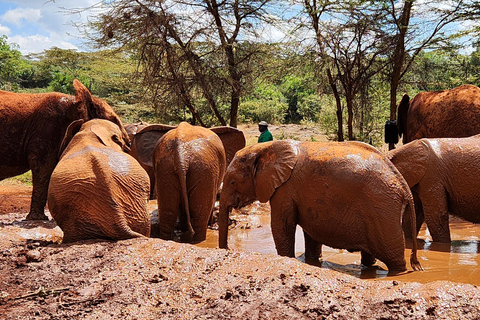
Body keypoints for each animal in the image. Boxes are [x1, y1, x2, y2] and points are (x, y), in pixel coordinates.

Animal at [219, 140, 422, 272]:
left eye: (232, 182)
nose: (228, 250)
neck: (265, 148)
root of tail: (404, 186)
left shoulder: (285, 189)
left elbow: (282, 226)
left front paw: (289, 259)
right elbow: (310, 232)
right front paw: (311, 261)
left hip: (382, 209)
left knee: (394, 256)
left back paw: (399, 271)